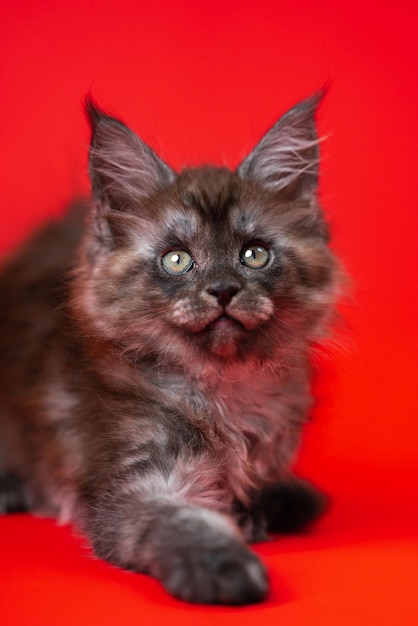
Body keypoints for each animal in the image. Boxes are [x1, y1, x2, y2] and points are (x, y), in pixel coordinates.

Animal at [0, 94, 340, 604]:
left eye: (255, 254)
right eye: (177, 260)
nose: (223, 289)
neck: (225, 390)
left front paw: (265, 508)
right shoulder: (135, 484)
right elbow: (181, 520)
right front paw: (222, 564)